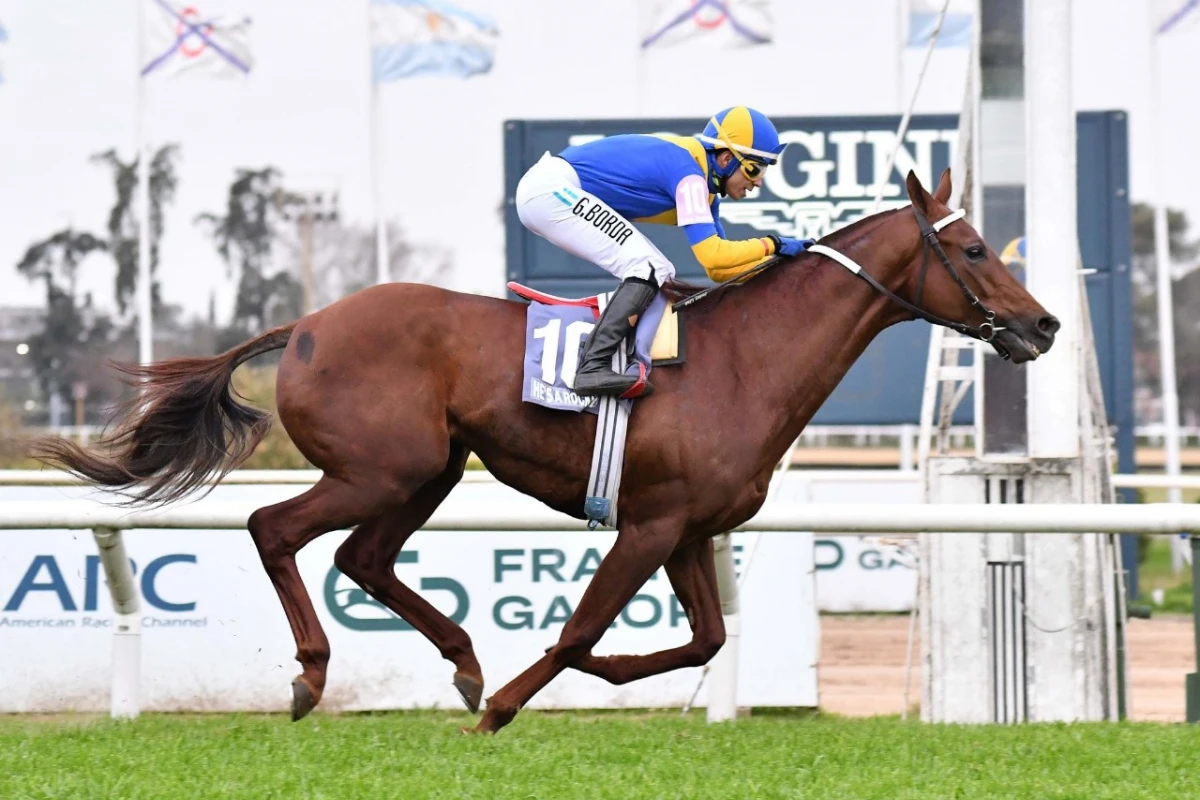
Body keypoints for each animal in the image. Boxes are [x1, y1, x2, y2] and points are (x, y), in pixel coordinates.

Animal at [30, 169, 1060, 734]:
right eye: (973, 249)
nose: (1044, 325)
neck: (744, 361)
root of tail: (310, 324)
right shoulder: (649, 525)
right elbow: (580, 627)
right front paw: (509, 707)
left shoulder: (689, 530)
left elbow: (704, 638)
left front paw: (574, 682)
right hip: (379, 467)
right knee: (274, 528)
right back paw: (316, 674)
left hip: (431, 469)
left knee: (363, 558)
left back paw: (462, 661)